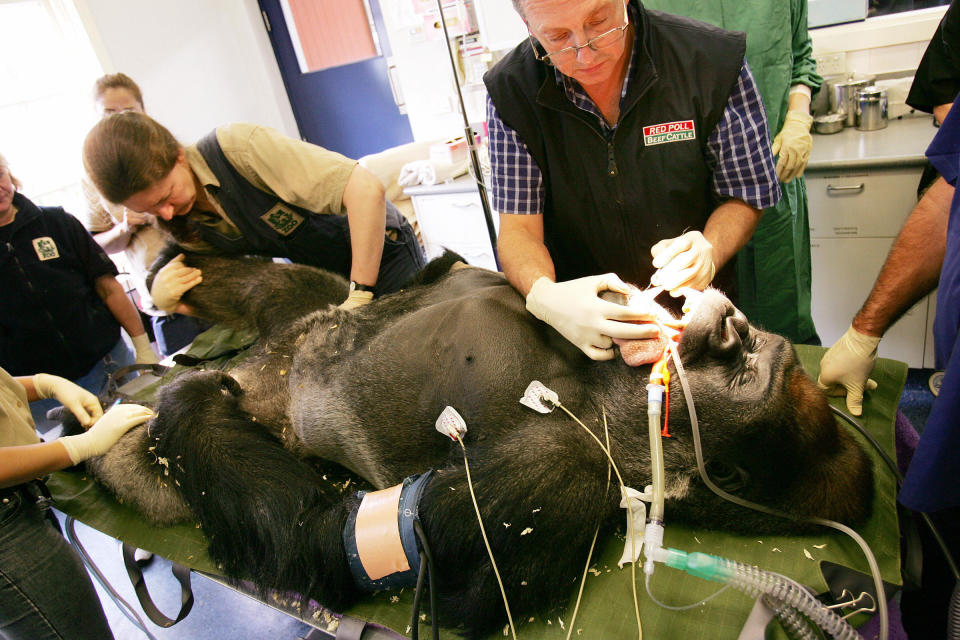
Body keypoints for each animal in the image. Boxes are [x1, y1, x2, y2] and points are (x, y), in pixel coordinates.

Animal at [80, 250, 876, 636]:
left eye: (745, 369)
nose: (727, 323)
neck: (601, 389)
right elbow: (459, 271)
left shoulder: (560, 477)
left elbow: (326, 538)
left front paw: (189, 400)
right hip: (297, 328)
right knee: (315, 298)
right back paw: (169, 286)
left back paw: (152, 409)